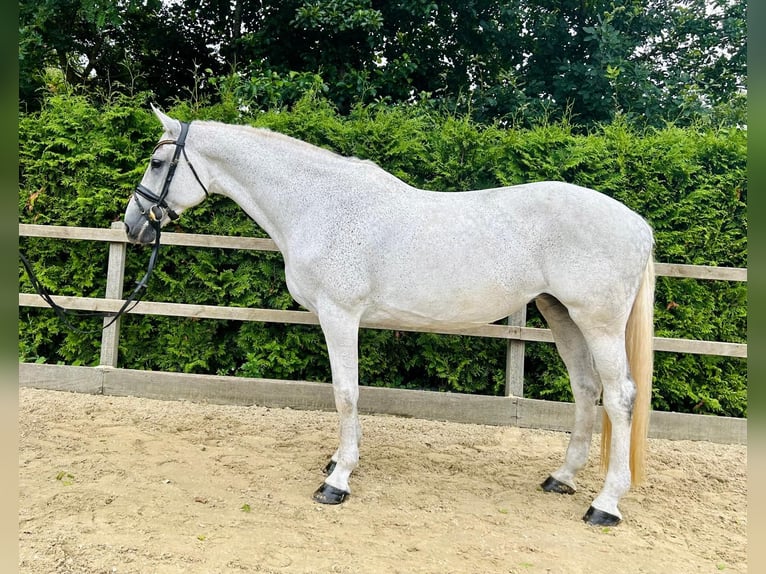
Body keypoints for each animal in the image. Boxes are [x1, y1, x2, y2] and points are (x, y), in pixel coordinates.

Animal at [123, 105, 655, 526]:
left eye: (156, 163)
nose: (131, 226)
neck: (320, 205)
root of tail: (638, 224)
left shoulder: (340, 316)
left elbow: (346, 393)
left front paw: (338, 481)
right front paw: (339, 459)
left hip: (598, 322)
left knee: (620, 397)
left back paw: (605, 505)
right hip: (560, 314)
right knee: (586, 389)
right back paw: (561, 477)